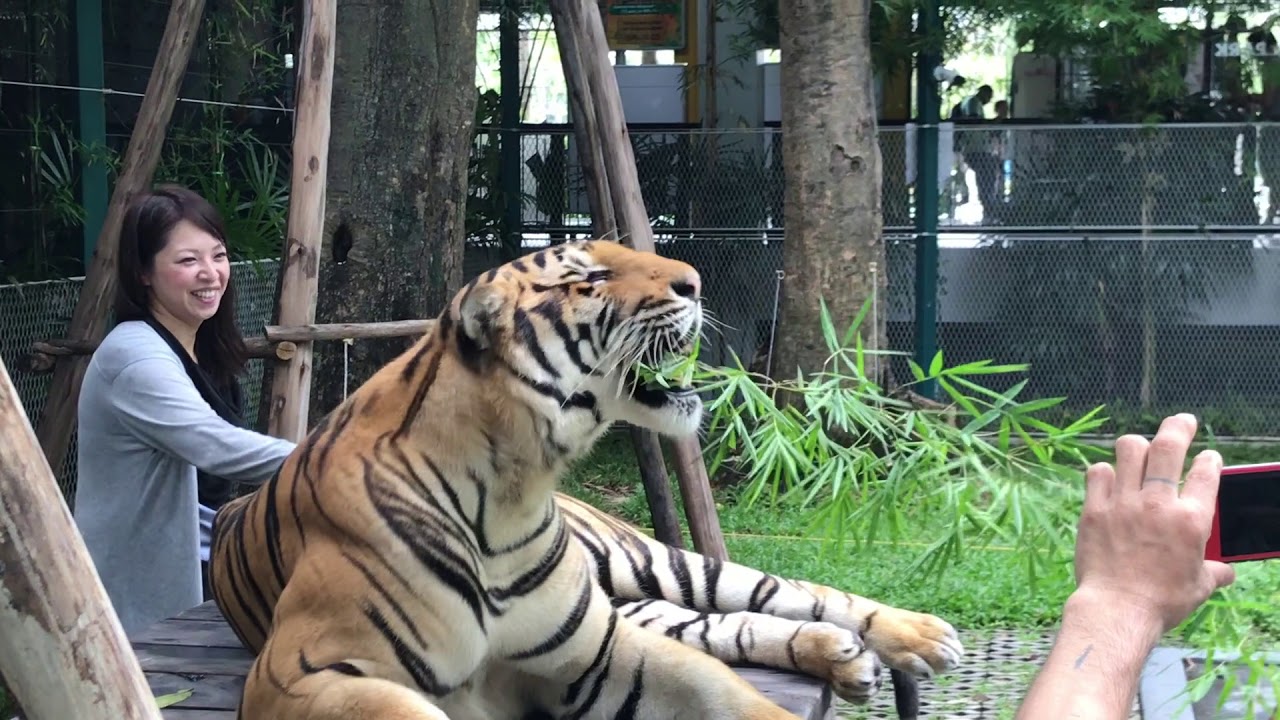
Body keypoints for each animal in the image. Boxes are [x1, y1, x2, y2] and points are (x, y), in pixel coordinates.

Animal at [209, 239, 963, 720]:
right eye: (589, 277)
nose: (696, 282)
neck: (511, 492)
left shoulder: (599, 652)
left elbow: (731, 693)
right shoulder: (300, 674)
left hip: (652, 566)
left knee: (786, 592)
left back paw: (919, 635)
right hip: (636, 602)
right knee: (731, 624)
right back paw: (845, 656)